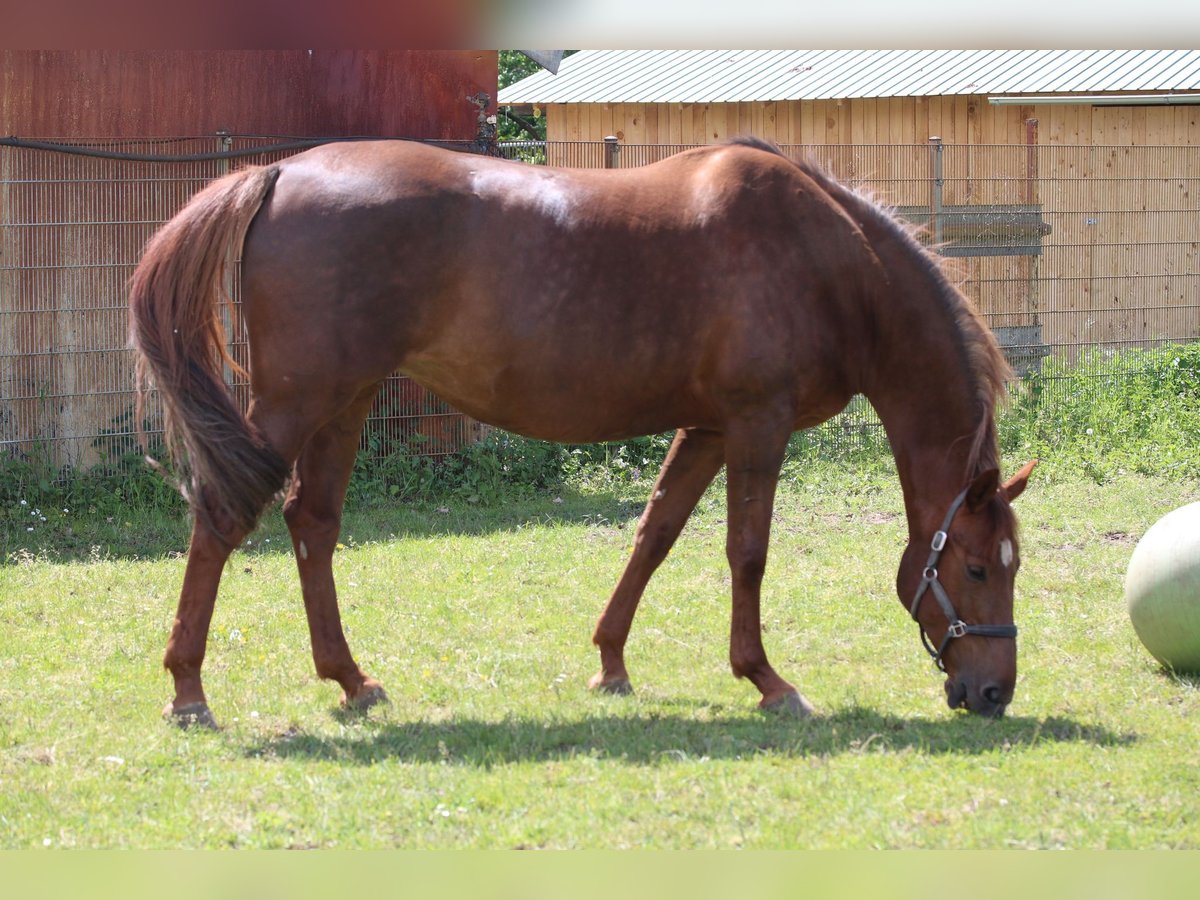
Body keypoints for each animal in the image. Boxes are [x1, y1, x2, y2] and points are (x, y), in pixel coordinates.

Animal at [129, 133, 1032, 729]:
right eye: (978, 568)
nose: (994, 693)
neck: (830, 259)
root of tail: (279, 173)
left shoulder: (706, 428)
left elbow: (655, 534)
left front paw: (611, 663)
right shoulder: (756, 423)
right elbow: (747, 554)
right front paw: (767, 681)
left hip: (344, 402)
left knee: (311, 523)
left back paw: (351, 679)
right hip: (297, 401)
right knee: (223, 518)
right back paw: (188, 691)